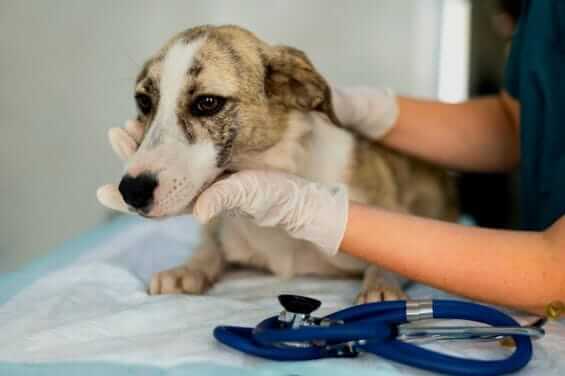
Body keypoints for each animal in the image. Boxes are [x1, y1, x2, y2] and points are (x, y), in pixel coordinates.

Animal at [120, 25, 458, 302]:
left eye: (207, 103)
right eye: (144, 102)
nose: (131, 191)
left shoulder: (398, 216)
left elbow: (392, 256)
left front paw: (381, 285)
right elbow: (210, 247)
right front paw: (188, 269)